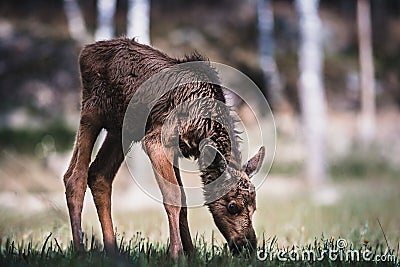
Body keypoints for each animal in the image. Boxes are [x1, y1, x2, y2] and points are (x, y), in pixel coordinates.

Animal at [64, 38, 266, 258]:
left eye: (255, 207)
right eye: (232, 206)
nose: (248, 246)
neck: (202, 127)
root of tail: (86, 51)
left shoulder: (175, 149)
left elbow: (184, 201)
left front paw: (191, 253)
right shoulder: (156, 141)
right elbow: (173, 197)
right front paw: (175, 253)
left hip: (120, 130)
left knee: (98, 175)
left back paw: (113, 252)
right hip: (93, 110)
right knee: (75, 177)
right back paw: (80, 251)